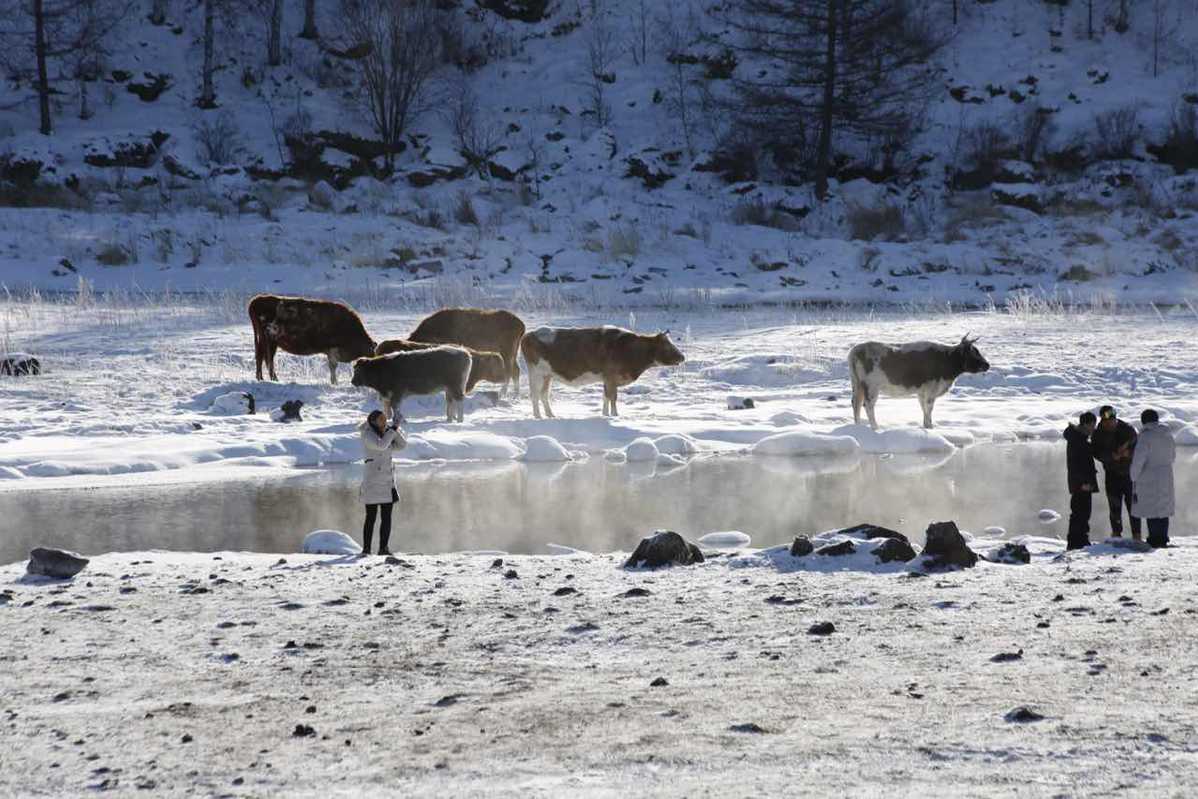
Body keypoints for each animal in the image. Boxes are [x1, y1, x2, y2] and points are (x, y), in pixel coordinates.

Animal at [517, 325, 685, 421]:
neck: (630, 348)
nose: (682, 357)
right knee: (535, 394)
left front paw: (605, 415)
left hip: (547, 375)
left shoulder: (607, 379)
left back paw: (550, 415)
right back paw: (538, 416)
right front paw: (615, 416)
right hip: (536, 372)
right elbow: (613, 397)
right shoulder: (611, 377)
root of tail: (529, 334)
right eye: (667, 345)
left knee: (544, 394)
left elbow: (605, 396)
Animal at [848, 335, 987, 428]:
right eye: (974, 353)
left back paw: (858, 426)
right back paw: (875, 427)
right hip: (871, 387)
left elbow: (923, 408)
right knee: (868, 406)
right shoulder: (931, 390)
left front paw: (926, 425)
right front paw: (930, 426)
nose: (987, 365)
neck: (946, 358)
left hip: (857, 385)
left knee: (856, 404)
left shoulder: (922, 392)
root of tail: (856, 350)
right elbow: (929, 408)